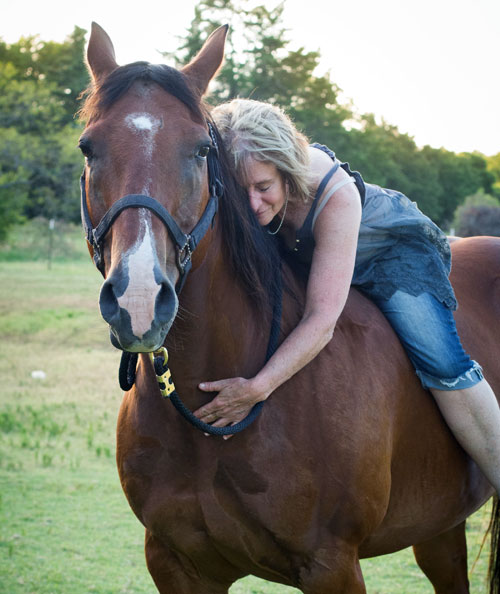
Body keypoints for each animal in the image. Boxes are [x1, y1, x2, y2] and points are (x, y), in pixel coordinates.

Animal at [79, 20, 500, 588]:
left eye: (200, 150)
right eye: (88, 148)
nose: (139, 298)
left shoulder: (331, 566)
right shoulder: (176, 564)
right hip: (439, 527)